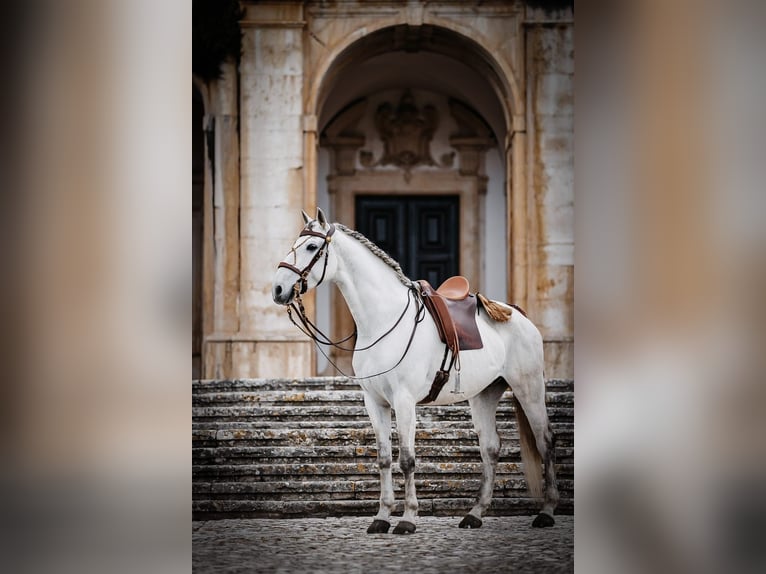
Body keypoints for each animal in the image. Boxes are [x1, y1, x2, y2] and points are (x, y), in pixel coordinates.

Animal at [272, 210, 560, 536]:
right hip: (484, 395)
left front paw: (408, 518)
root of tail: (517, 314)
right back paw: (475, 514)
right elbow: (384, 459)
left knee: (545, 441)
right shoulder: (375, 402)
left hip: (529, 389)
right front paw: (381, 517)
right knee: (490, 448)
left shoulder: (404, 400)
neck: (383, 321)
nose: (278, 290)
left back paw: (546, 512)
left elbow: (407, 460)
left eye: (311, 247)